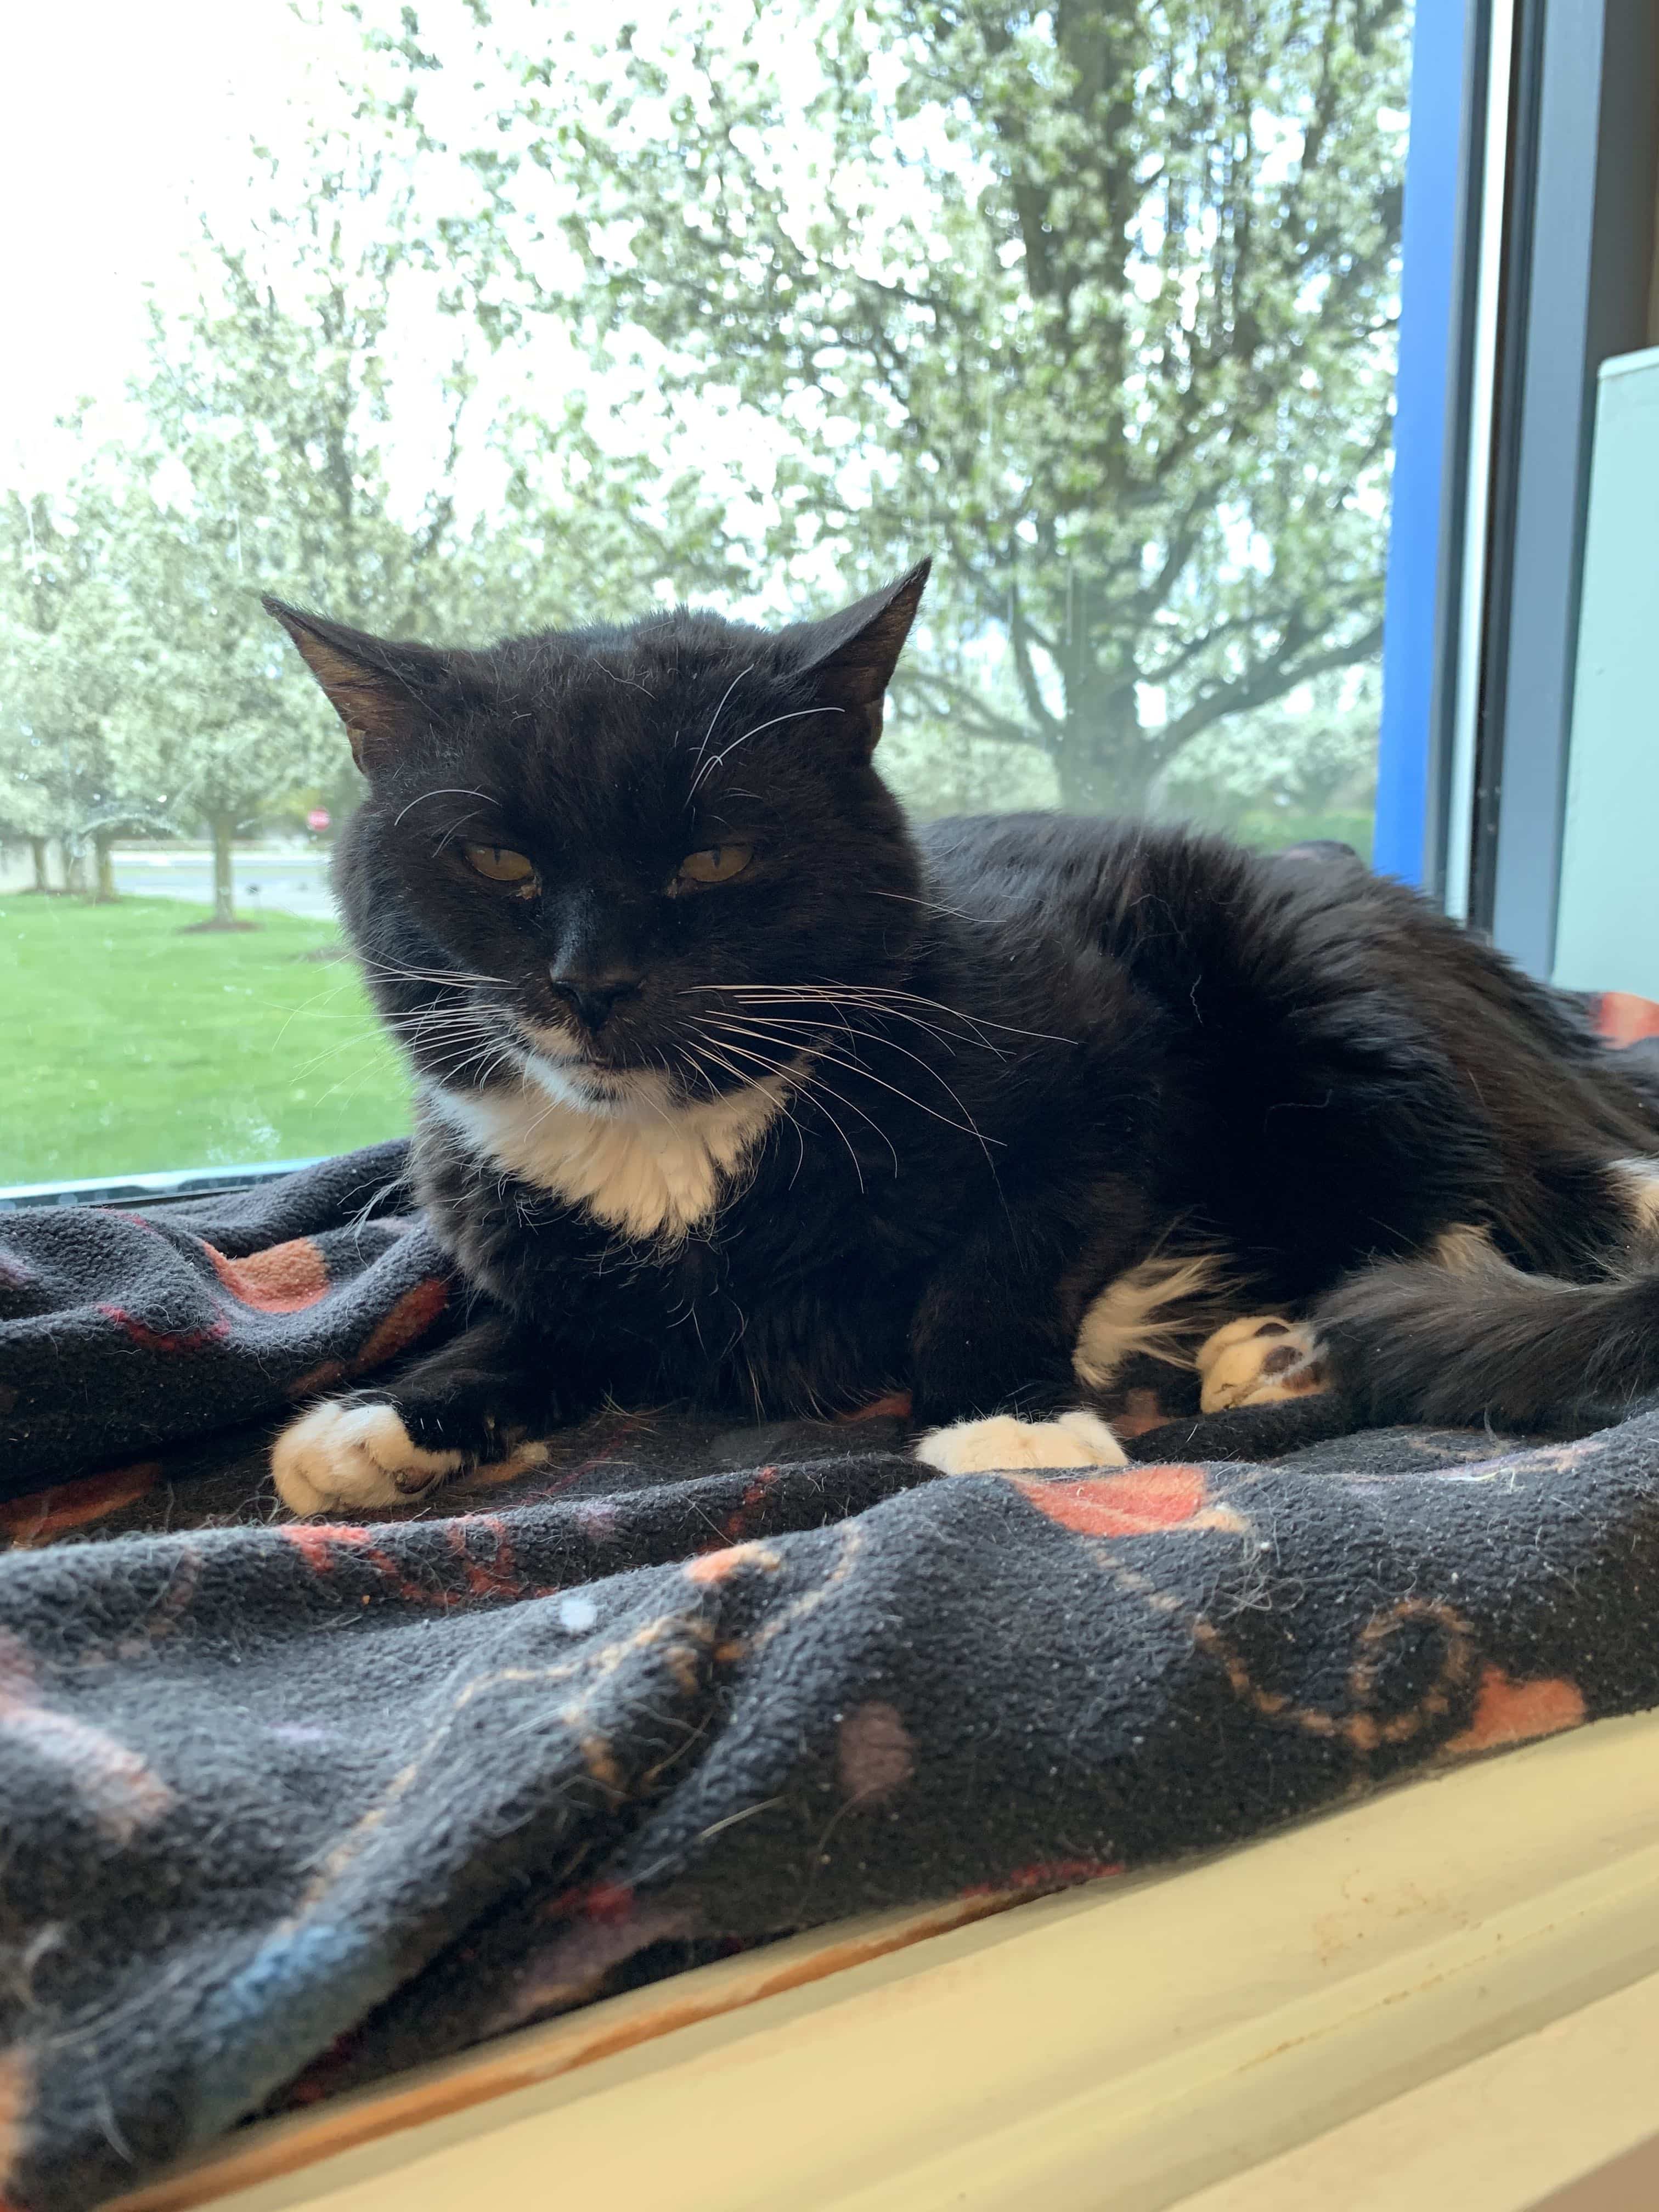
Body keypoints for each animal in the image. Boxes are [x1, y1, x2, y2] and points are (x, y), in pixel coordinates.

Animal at [262, 564, 1659, 1516]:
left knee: (1520, 1205)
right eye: (496, 860)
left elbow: (1004, 1256)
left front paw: (1009, 1418)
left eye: (715, 856)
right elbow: (533, 1320)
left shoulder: (1105, 1075)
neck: (677, 1150)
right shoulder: (533, 1231)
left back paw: (1300, 1344)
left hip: (1328, 998)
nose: (588, 982)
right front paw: (393, 1415)